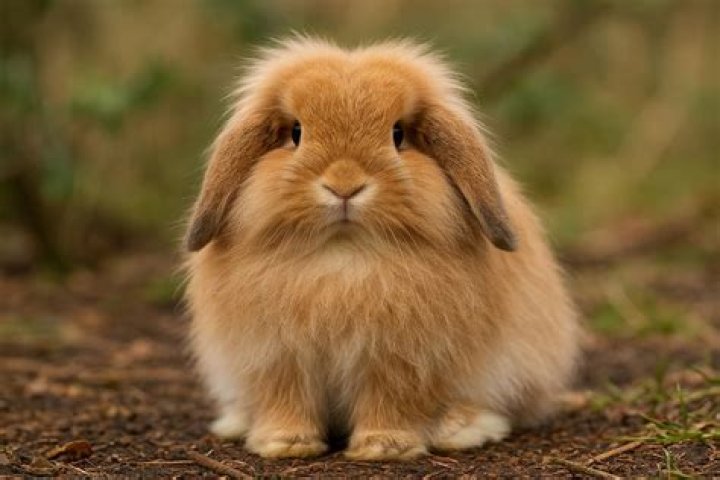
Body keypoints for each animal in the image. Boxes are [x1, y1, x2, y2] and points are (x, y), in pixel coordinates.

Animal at [183, 37, 579, 461]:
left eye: (398, 134)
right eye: (296, 133)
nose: (344, 185)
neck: (343, 257)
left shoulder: (401, 361)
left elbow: (390, 403)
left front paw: (384, 447)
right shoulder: (277, 357)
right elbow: (287, 401)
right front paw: (285, 443)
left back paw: (462, 429)